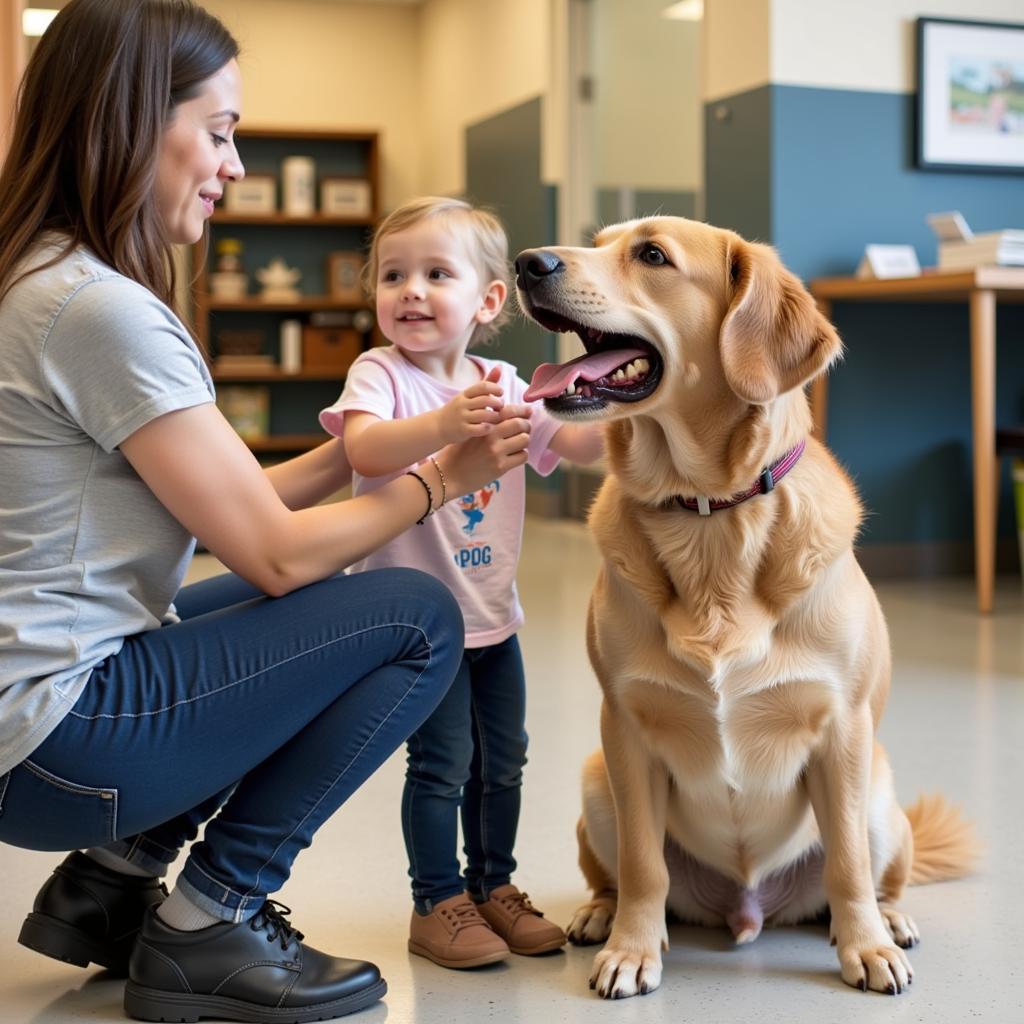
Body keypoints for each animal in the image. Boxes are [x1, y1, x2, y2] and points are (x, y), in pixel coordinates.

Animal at [516, 218, 978, 999]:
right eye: (597, 240)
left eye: (651, 254)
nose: (525, 263)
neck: (708, 518)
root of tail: (748, 906)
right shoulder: (626, 731)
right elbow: (642, 864)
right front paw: (632, 948)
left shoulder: (842, 732)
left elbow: (848, 866)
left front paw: (868, 947)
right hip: (596, 784)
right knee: (617, 873)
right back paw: (598, 914)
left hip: (880, 796)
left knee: (875, 874)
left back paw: (888, 922)